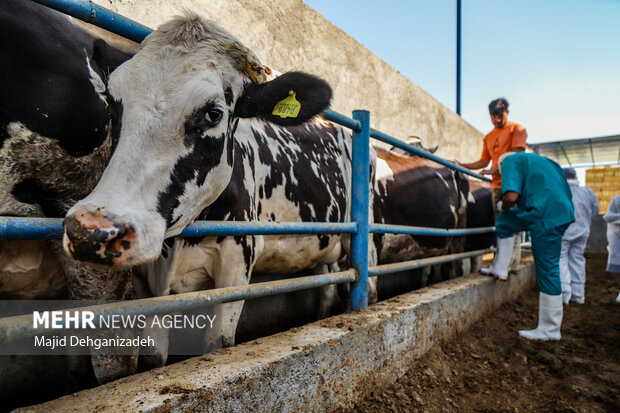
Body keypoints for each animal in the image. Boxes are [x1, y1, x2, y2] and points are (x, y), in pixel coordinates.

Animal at [60, 11, 376, 350]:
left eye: (213, 113)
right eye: (111, 102)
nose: (90, 231)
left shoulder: (235, 266)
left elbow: (216, 343)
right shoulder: (145, 283)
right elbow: (154, 352)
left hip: (365, 240)